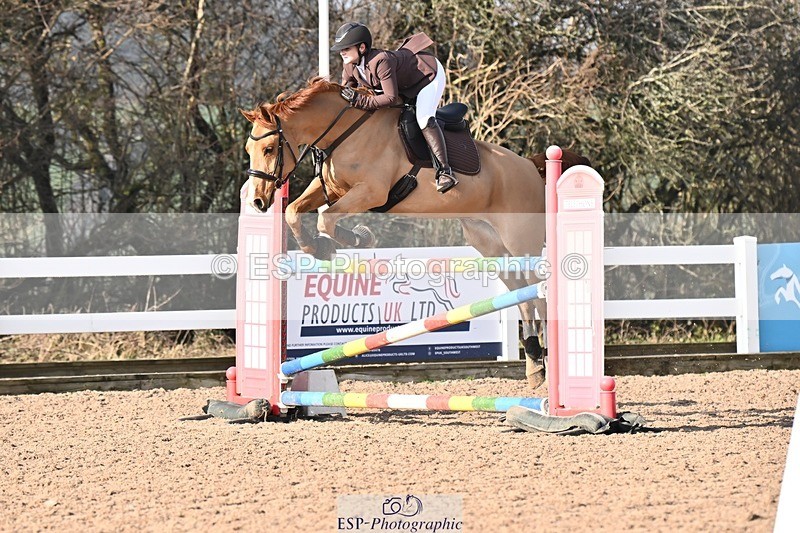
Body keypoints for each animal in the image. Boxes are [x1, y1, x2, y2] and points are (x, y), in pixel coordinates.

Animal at [241, 77, 591, 389]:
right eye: (249, 149)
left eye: (269, 149)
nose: (257, 201)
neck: (344, 130)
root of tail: (531, 166)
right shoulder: (331, 188)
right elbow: (293, 211)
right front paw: (318, 248)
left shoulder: (371, 192)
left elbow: (325, 219)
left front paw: (356, 239)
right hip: (490, 245)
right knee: (523, 298)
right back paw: (534, 367)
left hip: (521, 242)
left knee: (539, 298)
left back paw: (547, 366)